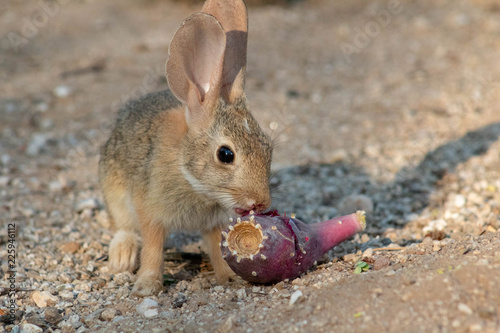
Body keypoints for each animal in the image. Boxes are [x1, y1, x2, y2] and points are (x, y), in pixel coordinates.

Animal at [99, 0, 272, 296]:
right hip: (114, 190)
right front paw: (147, 286)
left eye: (268, 147)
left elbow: (218, 248)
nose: (261, 203)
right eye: (225, 155)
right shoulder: (151, 211)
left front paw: (230, 279)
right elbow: (153, 248)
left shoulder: (214, 223)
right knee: (124, 226)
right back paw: (122, 257)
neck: (191, 179)